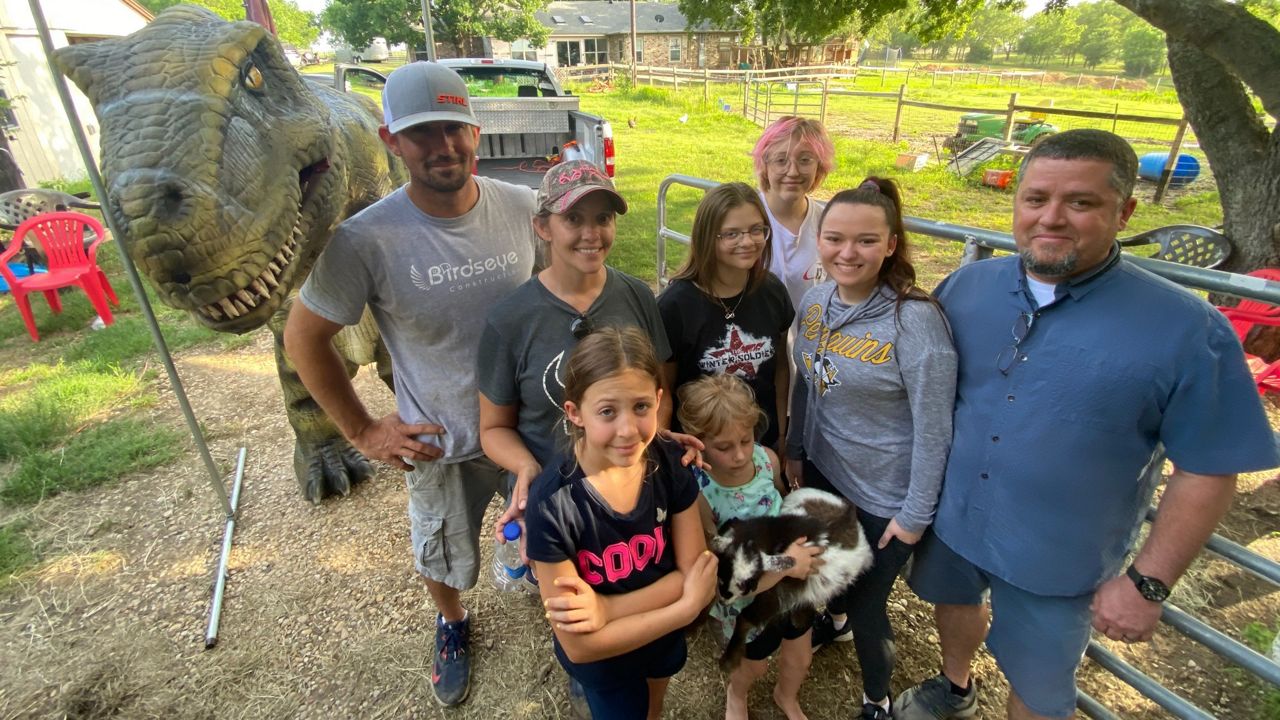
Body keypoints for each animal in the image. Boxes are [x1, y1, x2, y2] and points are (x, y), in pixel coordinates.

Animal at [706, 484, 875, 671]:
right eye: (720, 577)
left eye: (746, 586)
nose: (723, 600)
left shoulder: (774, 590)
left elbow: (745, 618)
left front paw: (728, 660)